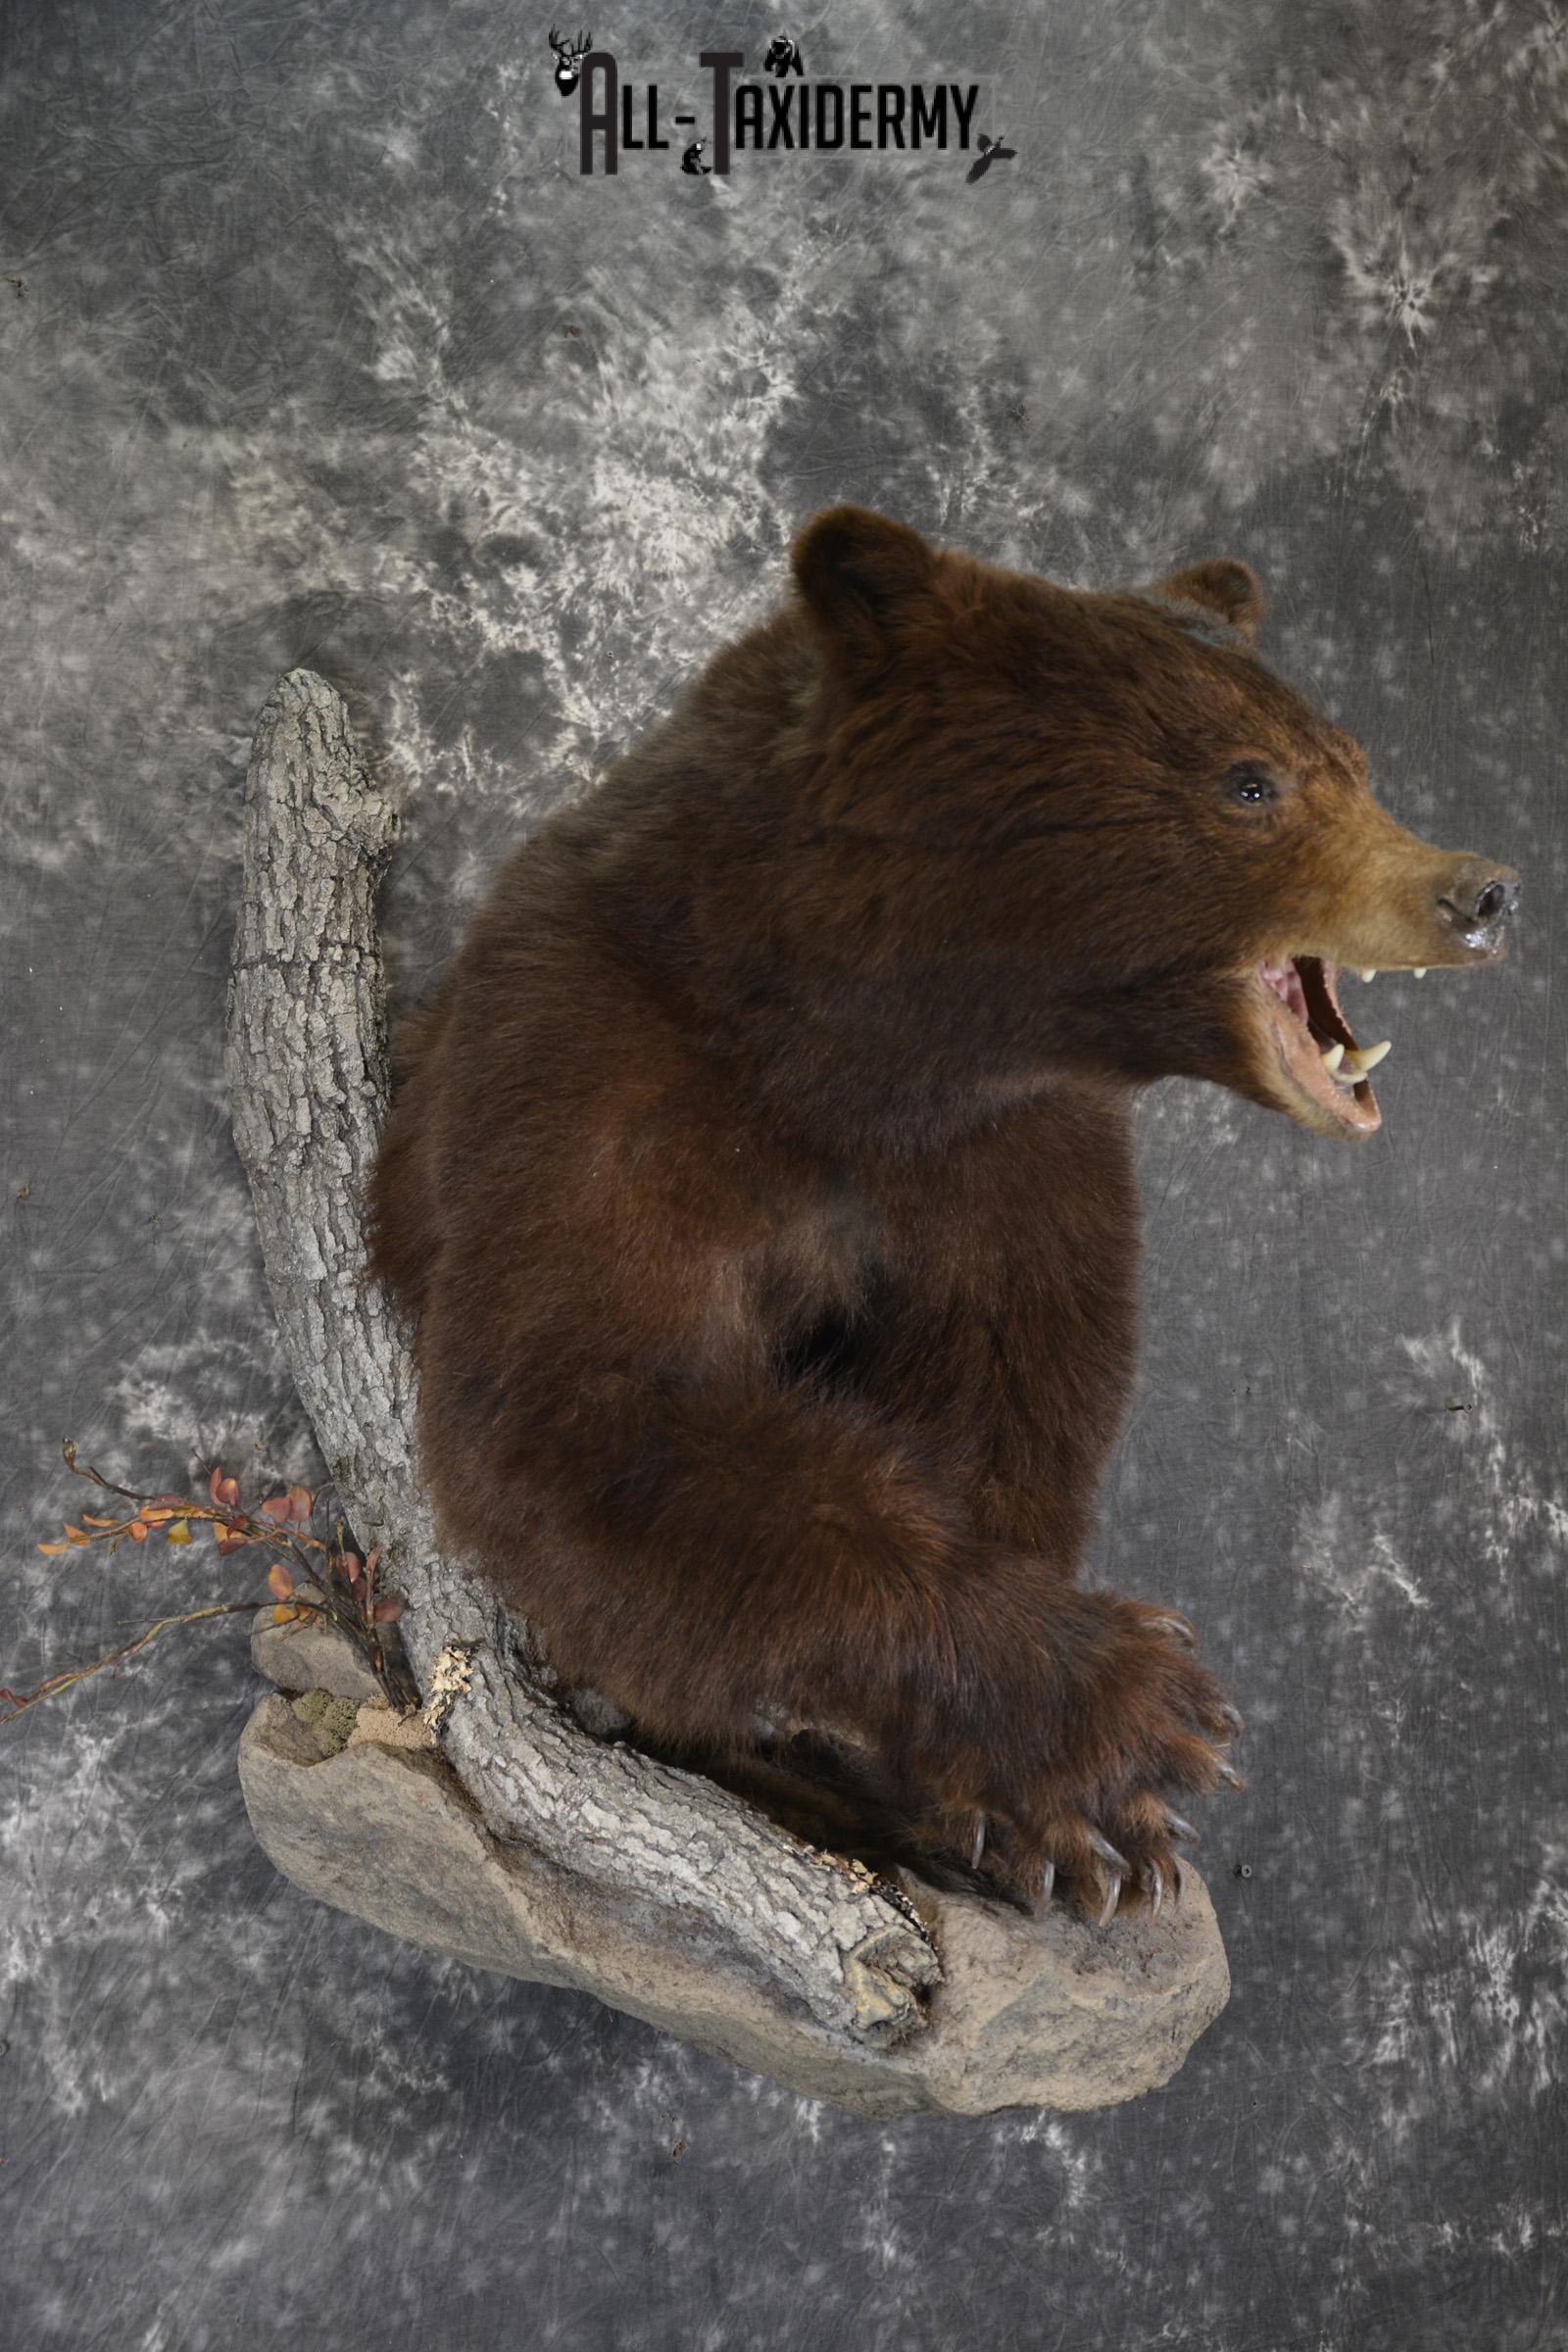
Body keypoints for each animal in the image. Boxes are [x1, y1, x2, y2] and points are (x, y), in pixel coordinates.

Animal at [364, 506, 1519, 1922]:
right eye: (1250, 782)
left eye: (1354, 763)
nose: (1478, 890)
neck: (861, 1039)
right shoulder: (596, 1068)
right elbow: (588, 1404)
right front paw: (1123, 1718)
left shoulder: (1011, 1155)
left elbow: (1004, 1395)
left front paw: (1052, 1815)